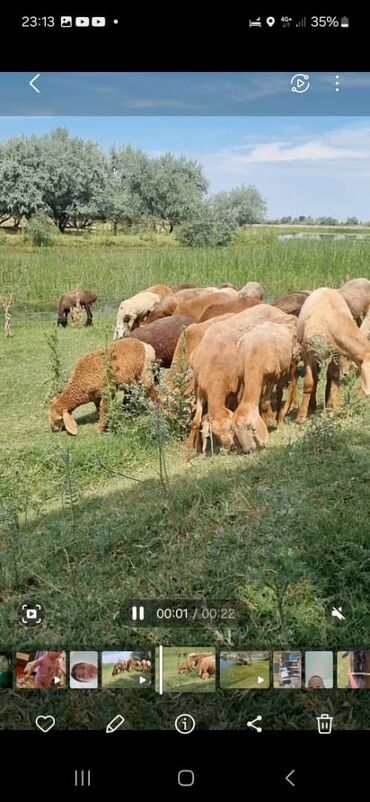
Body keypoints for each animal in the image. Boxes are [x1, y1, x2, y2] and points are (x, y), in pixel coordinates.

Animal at [234, 322, 300, 454]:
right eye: (235, 431)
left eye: (249, 427)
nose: (248, 450)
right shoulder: (243, 377)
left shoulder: (272, 377)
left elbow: (264, 404)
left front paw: (268, 420)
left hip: (290, 363)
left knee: (286, 388)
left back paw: (281, 418)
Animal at [296, 290, 370, 424]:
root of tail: (324, 288)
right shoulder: (308, 353)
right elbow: (309, 382)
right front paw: (301, 416)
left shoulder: (337, 353)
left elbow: (335, 376)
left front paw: (336, 406)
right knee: (316, 377)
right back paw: (312, 406)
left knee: (329, 374)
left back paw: (328, 402)